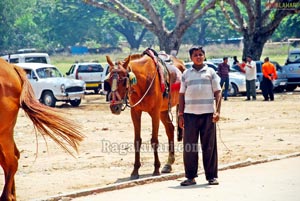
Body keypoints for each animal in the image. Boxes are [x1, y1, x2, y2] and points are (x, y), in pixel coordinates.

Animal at [105, 48, 185, 179]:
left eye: (124, 80)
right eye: (108, 80)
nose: (114, 107)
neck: (144, 80)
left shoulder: (154, 113)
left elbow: (154, 140)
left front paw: (156, 168)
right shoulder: (135, 112)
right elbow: (137, 140)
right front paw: (135, 170)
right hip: (163, 111)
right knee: (170, 129)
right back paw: (169, 163)